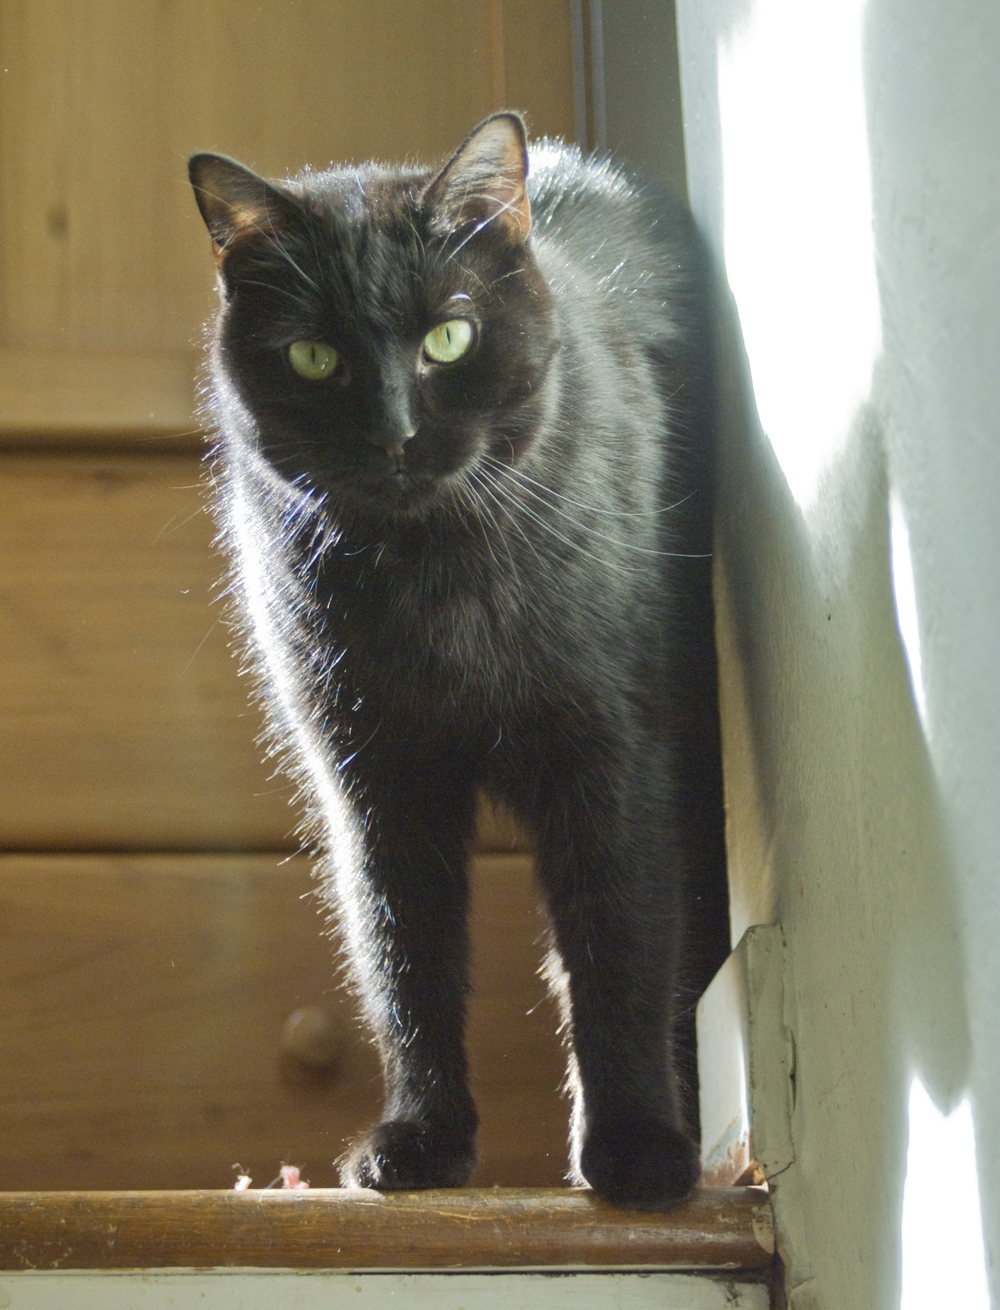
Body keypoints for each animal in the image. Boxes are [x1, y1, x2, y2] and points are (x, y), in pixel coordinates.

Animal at [191, 110, 733, 1205]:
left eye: (450, 335)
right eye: (313, 357)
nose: (395, 434)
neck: (433, 588)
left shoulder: (613, 755)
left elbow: (618, 945)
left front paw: (636, 1150)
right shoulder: (376, 784)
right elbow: (406, 964)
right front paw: (421, 1143)